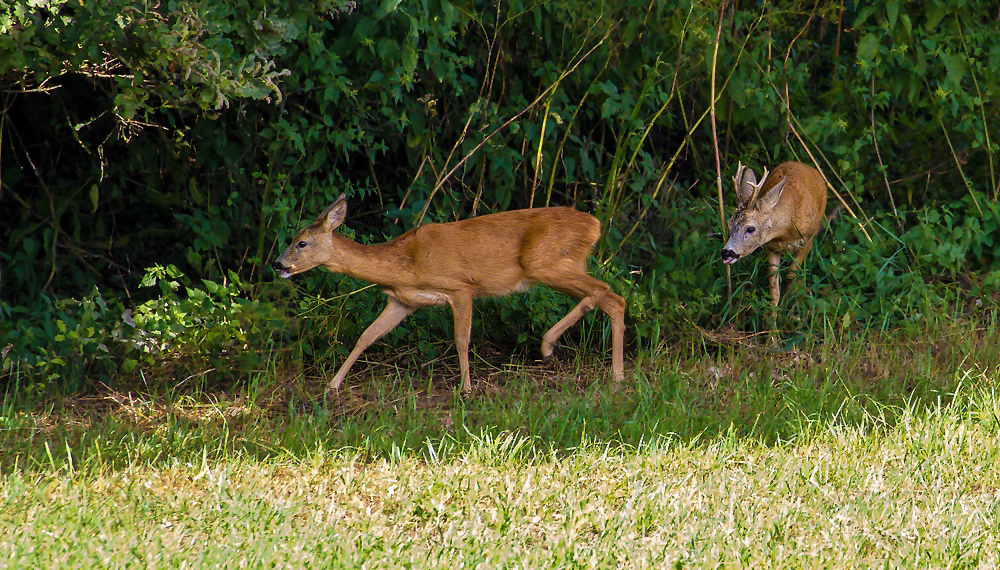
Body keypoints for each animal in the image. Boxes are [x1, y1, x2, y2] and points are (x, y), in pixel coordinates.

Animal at [270, 195, 620, 394]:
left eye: (301, 242)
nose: (278, 265)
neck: (408, 262)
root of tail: (595, 224)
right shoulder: (402, 301)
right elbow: (366, 336)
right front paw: (333, 384)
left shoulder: (460, 286)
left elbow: (462, 339)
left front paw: (466, 389)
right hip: (557, 265)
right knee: (614, 300)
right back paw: (616, 376)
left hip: (545, 263)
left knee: (603, 291)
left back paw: (549, 346)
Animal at [720, 160, 828, 306]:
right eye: (729, 223)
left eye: (750, 229)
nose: (726, 252)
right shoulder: (770, 247)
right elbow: (773, 291)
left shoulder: (808, 240)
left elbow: (791, 275)